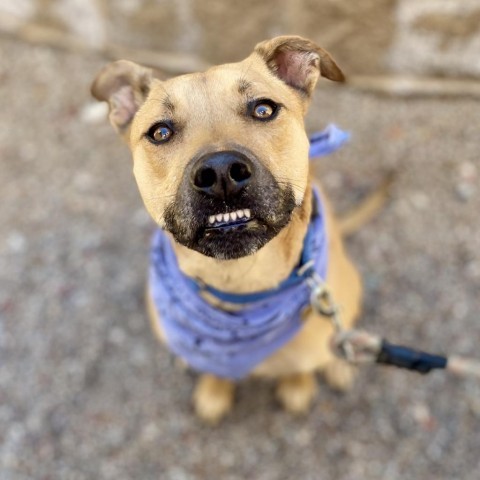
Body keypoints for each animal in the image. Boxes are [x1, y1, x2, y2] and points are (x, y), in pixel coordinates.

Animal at [91, 36, 360, 424]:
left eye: (263, 109)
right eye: (160, 132)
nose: (220, 173)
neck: (241, 280)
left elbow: (302, 365)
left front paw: (298, 385)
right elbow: (214, 369)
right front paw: (214, 390)